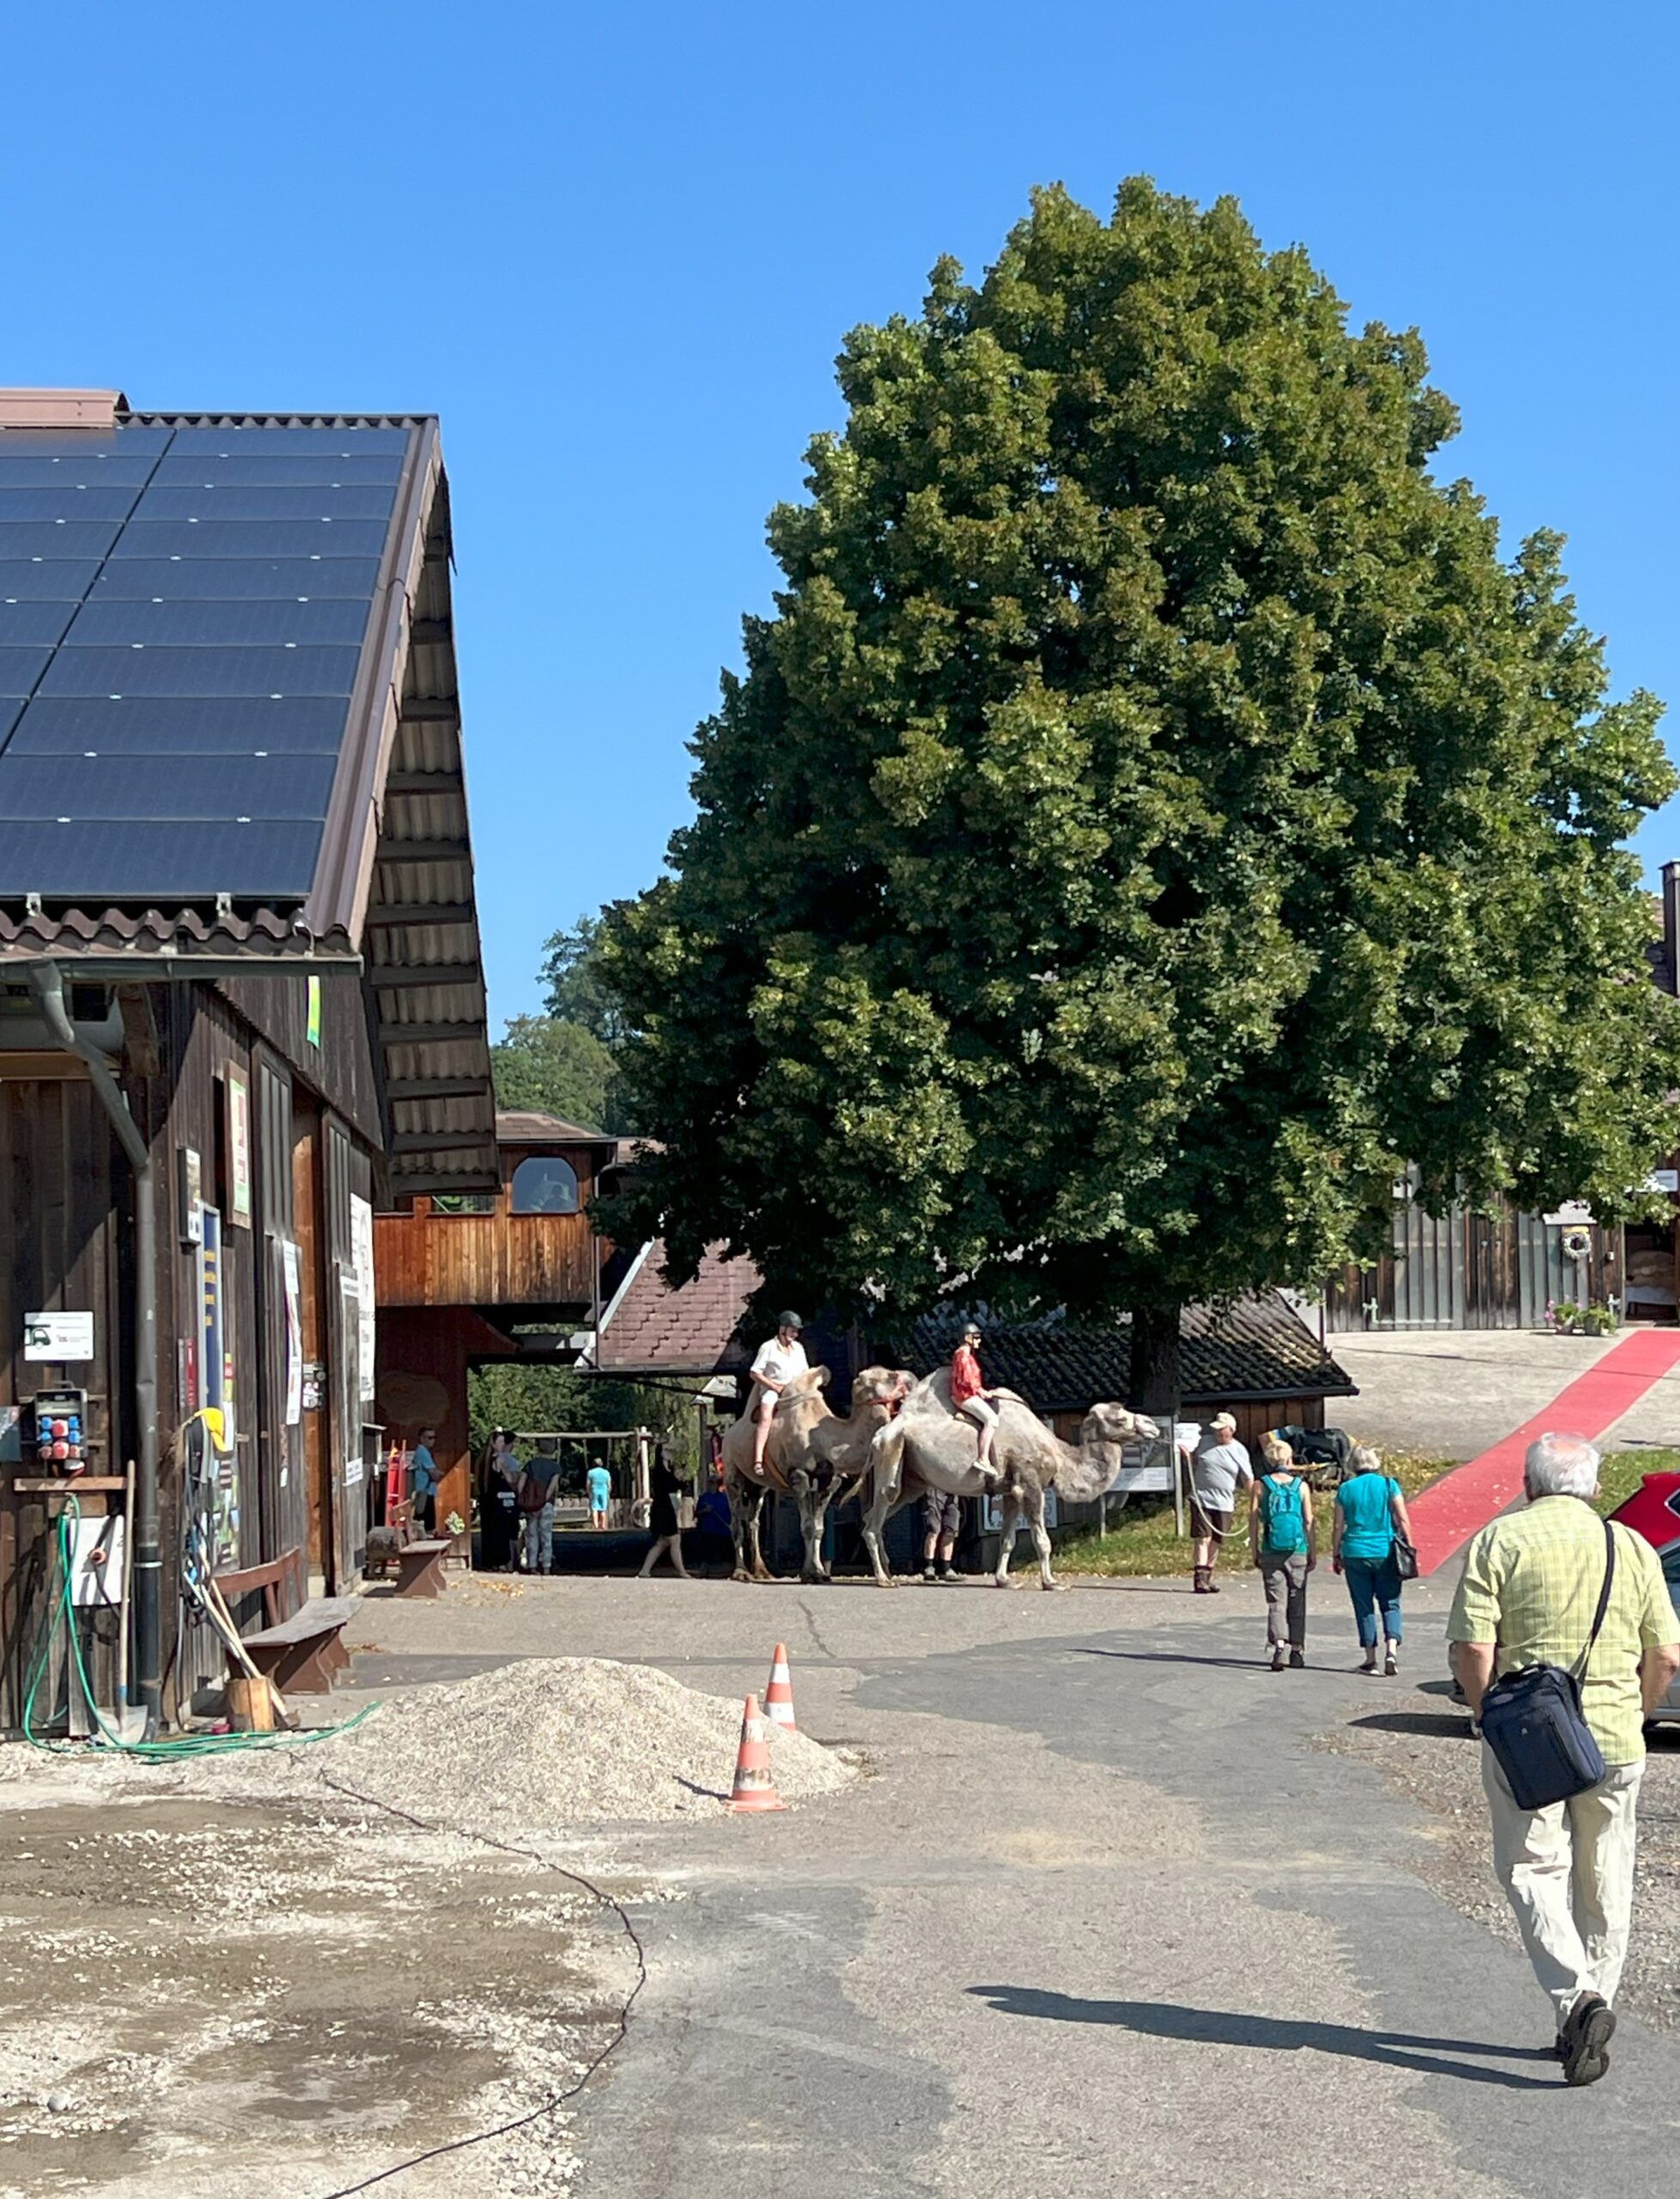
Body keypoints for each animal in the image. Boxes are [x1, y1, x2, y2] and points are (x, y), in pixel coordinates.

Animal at [716, 1354, 910, 1583]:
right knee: (736, 1520)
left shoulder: (829, 1480)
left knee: (754, 1519)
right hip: (731, 1473)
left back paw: (762, 1571)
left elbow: (818, 1528)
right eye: (880, 1378)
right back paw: (741, 1572)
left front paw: (819, 1572)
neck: (823, 1437)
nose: (904, 1377)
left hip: (758, 1485)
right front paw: (808, 1573)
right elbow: (807, 1527)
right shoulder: (798, 1475)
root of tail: (730, 1432)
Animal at [857, 1363, 1160, 1592]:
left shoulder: (1011, 1491)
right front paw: (1052, 1583)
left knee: (875, 1515)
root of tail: (880, 1434)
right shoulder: (1031, 1485)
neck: (1058, 1452)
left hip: (912, 1479)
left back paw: (887, 1573)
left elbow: (1007, 1539)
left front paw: (1004, 1580)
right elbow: (1042, 1541)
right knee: (876, 1517)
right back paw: (883, 1580)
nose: (1152, 1425)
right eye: (1119, 1419)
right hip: (892, 1453)